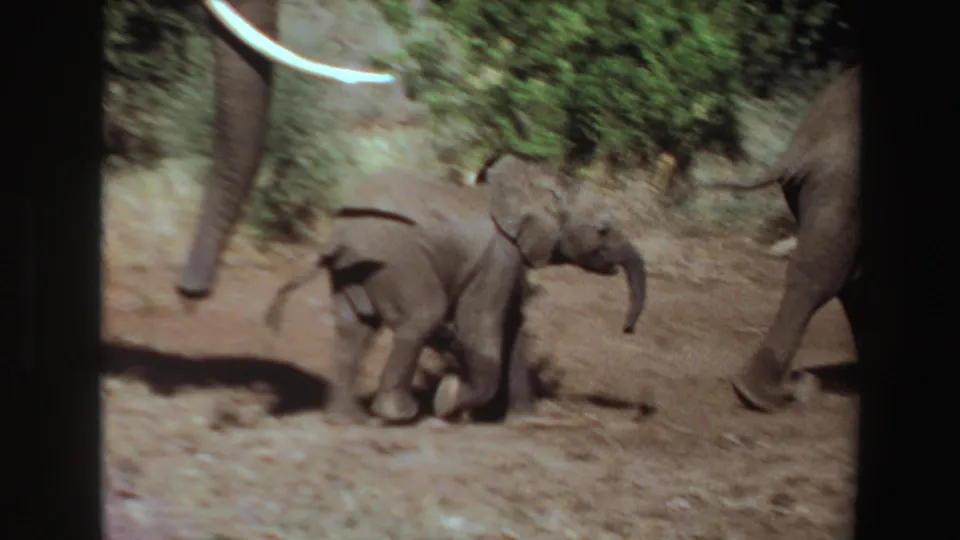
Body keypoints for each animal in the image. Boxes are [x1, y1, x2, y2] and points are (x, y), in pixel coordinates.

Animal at [263, 154, 648, 424]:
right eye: (603, 229)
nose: (628, 328)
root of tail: (337, 238)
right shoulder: (498, 255)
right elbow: (482, 323)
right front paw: (448, 399)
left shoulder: (510, 258)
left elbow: (514, 324)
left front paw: (524, 418)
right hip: (395, 262)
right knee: (421, 316)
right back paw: (398, 414)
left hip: (353, 272)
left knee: (354, 329)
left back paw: (345, 419)